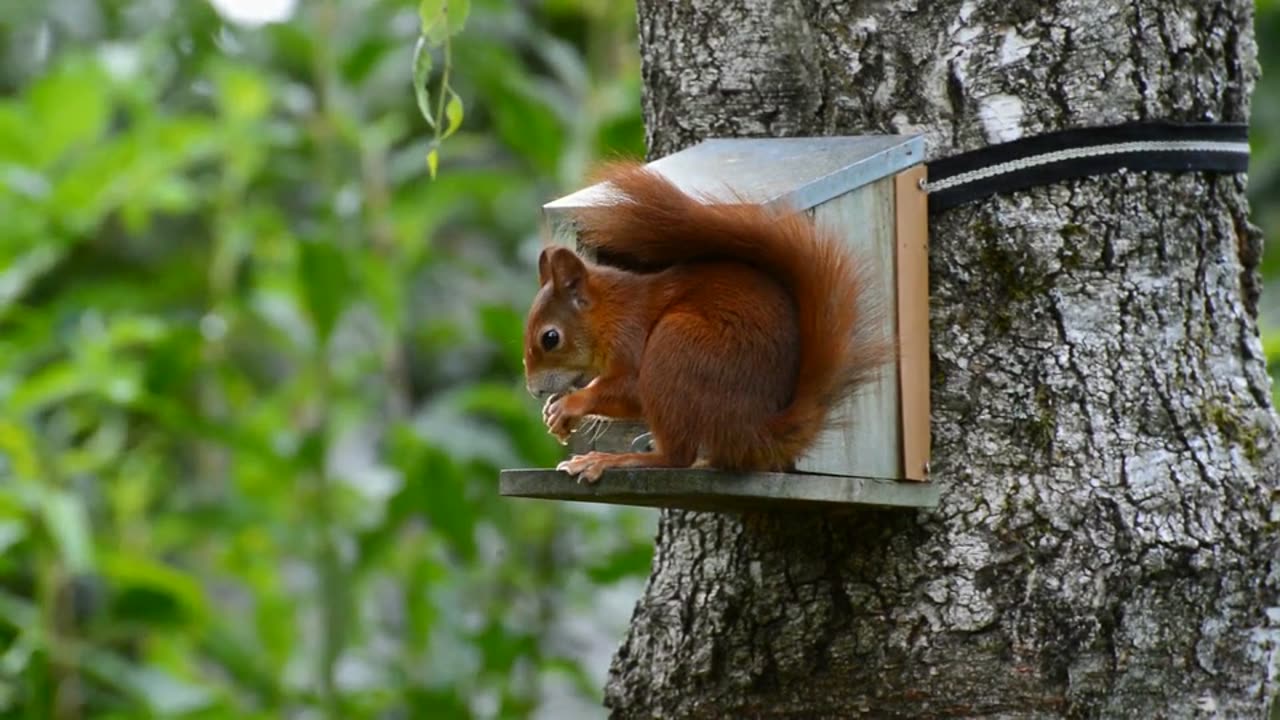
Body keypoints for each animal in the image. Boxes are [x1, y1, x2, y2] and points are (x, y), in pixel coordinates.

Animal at [519, 159, 890, 479]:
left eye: (550, 338)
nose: (535, 391)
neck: (610, 313)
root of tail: (756, 432)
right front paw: (554, 411)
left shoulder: (632, 335)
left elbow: (629, 390)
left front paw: (570, 405)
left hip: (674, 346)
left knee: (675, 457)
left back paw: (613, 460)